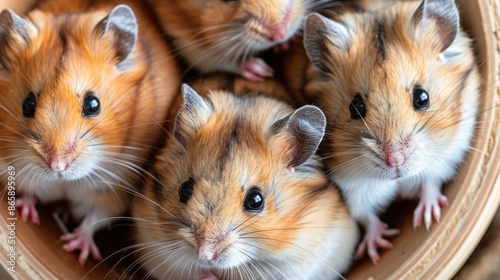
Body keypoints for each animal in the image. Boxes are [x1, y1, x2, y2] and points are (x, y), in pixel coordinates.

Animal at [0, 0, 181, 264]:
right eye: (28, 104)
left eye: (93, 104)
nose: (57, 167)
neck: (66, 183)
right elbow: (28, 190)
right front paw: (25, 213)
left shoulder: (113, 188)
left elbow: (94, 218)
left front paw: (76, 250)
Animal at [300, 0, 480, 262]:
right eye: (355, 107)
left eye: (422, 97)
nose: (395, 161)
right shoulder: (352, 186)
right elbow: (365, 214)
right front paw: (378, 249)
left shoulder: (450, 152)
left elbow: (431, 179)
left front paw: (427, 218)